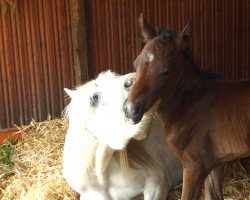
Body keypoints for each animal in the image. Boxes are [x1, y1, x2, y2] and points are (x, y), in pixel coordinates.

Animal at [123, 13, 250, 198]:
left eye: (166, 72)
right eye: (136, 63)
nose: (130, 110)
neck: (189, 103)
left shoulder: (195, 165)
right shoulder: (213, 163)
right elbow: (213, 195)